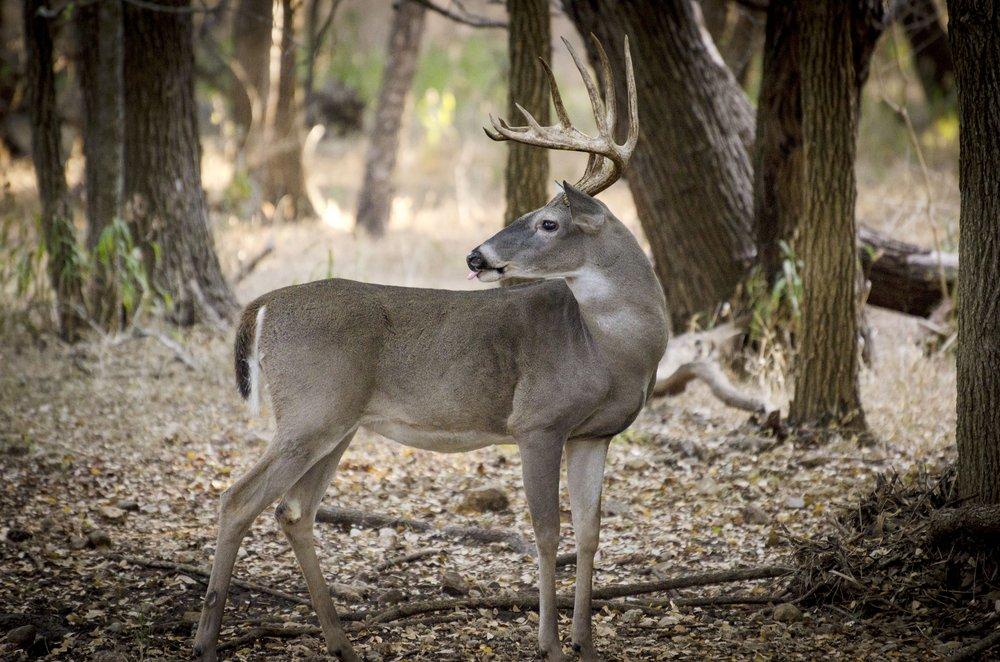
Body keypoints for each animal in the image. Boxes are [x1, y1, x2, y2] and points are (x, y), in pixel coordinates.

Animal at [193, 37, 664, 662]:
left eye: (547, 222)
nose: (475, 256)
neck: (611, 353)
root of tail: (264, 303)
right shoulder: (537, 422)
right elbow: (546, 533)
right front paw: (549, 644)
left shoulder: (595, 434)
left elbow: (589, 534)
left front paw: (585, 644)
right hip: (312, 409)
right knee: (238, 500)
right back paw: (206, 640)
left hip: (339, 423)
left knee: (294, 510)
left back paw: (342, 643)